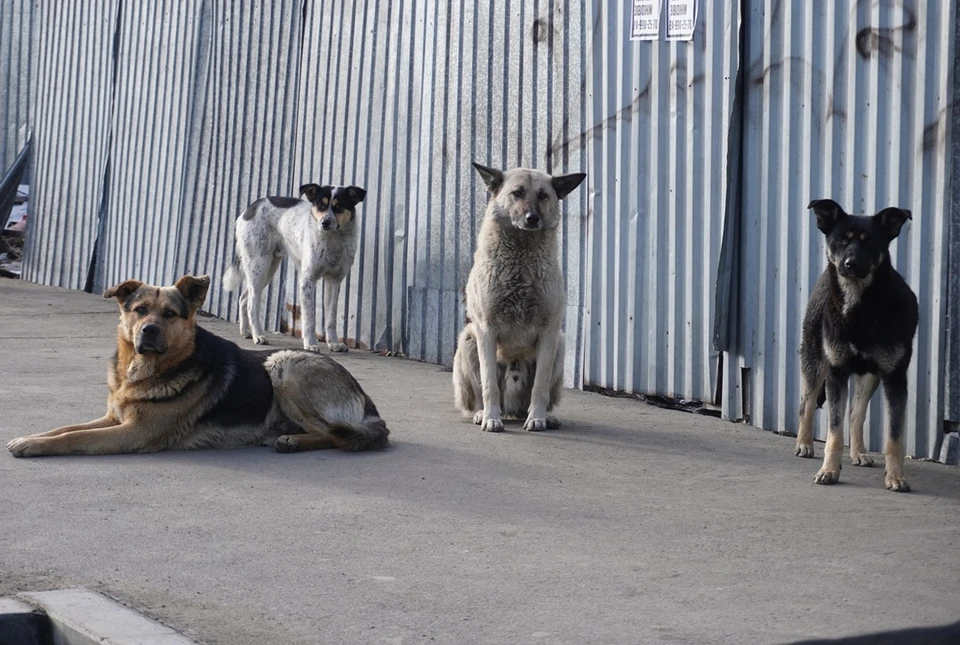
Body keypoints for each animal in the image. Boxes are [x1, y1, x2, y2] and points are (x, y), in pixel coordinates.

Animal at [6, 274, 390, 456]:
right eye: (139, 310)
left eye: (169, 314)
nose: (148, 331)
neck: (145, 371)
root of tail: (368, 401)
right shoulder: (114, 418)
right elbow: (64, 429)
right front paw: (29, 437)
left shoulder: (133, 432)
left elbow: (74, 438)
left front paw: (33, 446)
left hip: (284, 364)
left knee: (337, 434)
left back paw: (293, 441)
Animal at [223, 181, 366, 352]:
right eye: (320, 205)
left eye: (339, 206)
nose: (324, 223)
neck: (333, 239)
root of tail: (250, 208)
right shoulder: (307, 280)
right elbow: (309, 319)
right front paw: (310, 344)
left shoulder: (334, 281)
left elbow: (331, 319)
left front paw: (334, 343)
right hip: (259, 265)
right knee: (252, 303)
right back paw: (259, 335)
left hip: (267, 269)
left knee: (243, 298)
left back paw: (245, 331)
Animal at [456, 162, 588, 432]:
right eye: (517, 193)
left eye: (543, 195)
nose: (532, 218)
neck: (521, 262)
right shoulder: (486, 330)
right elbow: (489, 385)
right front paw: (491, 418)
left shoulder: (549, 333)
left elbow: (539, 387)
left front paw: (537, 418)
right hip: (467, 340)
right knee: (478, 395)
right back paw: (481, 413)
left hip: (559, 345)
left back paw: (546, 417)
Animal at [792, 199, 920, 490]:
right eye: (841, 240)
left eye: (869, 241)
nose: (850, 264)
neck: (860, 307)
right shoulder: (836, 372)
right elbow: (834, 431)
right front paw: (829, 470)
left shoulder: (895, 377)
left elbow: (894, 438)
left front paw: (896, 477)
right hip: (815, 360)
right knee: (806, 403)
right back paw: (804, 444)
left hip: (870, 375)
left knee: (856, 413)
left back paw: (859, 453)